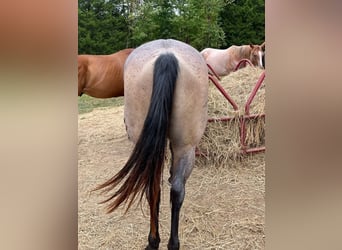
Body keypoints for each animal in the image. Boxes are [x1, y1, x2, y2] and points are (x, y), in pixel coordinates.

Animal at [95, 39, 210, 250]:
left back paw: (155, 241)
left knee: (154, 188)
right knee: (174, 190)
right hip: (186, 148)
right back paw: (169, 243)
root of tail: (166, 55)